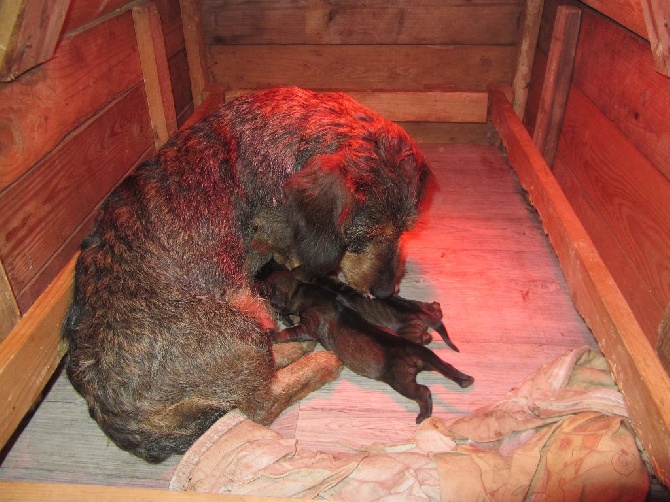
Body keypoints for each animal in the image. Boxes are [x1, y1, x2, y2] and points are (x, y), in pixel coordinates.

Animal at [61, 87, 430, 462]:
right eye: (366, 235)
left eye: (406, 229)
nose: (386, 292)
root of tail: (111, 411)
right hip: (241, 324)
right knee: (260, 404)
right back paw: (318, 358)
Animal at [262, 270, 478, 424]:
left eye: (265, 288)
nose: (256, 281)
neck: (311, 290)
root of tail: (412, 349)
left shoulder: (309, 326)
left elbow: (290, 332)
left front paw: (272, 334)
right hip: (431, 362)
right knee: (447, 367)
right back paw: (465, 380)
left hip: (401, 380)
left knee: (423, 391)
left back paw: (423, 415)